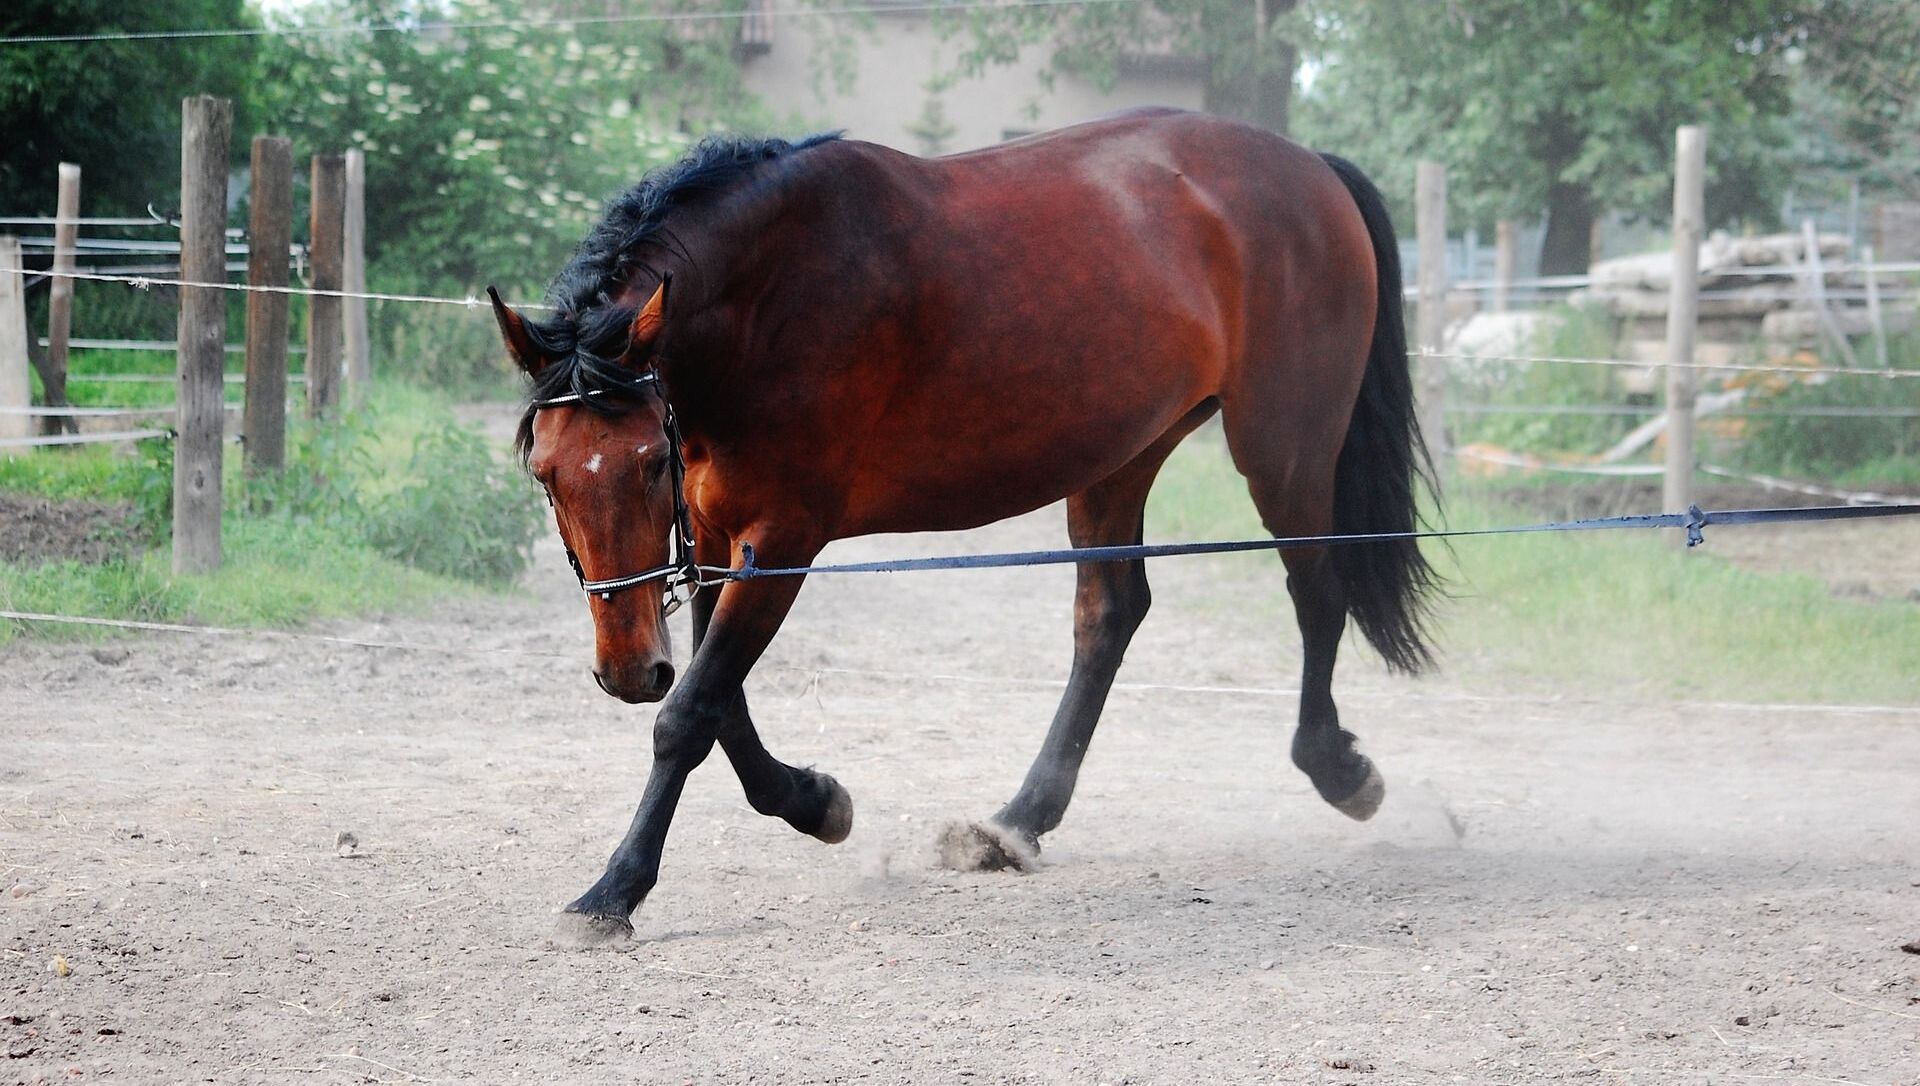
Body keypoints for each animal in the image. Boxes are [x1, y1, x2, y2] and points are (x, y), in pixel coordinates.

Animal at [487, 110, 1436, 944]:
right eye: (545, 474)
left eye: (651, 461)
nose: (626, 671)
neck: (770, 295)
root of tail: (1308, 166)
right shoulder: (719, 542)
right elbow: (721, 706)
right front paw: (815, 802)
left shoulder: (785, 538)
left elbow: (691, 713)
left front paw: (613, 892)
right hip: (1120, 455)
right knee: (1111, 615)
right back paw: (1018, 821)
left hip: (1284, 446)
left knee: (1317, 591)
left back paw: (1338, 769)